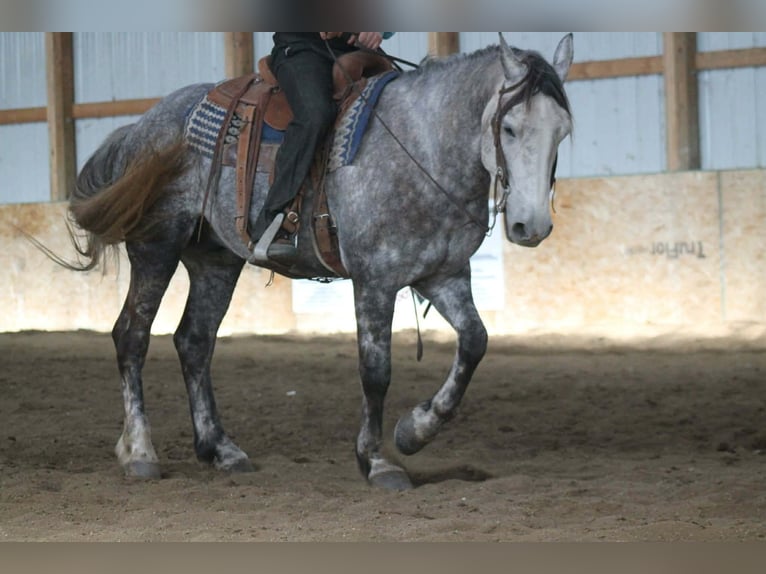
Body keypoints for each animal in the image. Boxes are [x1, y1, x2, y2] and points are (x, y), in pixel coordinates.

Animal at [62, 33, 573, 490]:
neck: (422, 148)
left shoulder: (443, 275)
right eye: (510, 128)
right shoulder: (374, 279)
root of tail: (142, 125)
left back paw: (221, 449)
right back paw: (140, 452)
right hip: (157, 246)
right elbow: (376, 372)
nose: (531, 226)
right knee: (132, 336)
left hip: (216, 261)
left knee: (194, 341)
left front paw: (414, 431)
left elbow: (474, 343)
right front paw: (377, 462)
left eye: (563, 131)